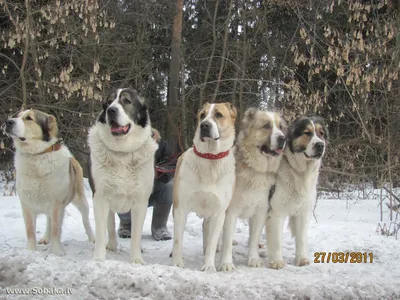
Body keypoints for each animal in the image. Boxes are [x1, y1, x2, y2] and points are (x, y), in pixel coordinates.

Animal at [3, 109, 95, 255]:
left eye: (29, 118)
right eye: (16, 116)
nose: (8, 122)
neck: (38, 155)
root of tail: (73, 158)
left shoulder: (57, 203)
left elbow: (56, 229)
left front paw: (56, 252)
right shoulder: (27, 204)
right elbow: (30, 231)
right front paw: (30, 251)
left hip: (80, 199)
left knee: (85, 220)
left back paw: (92, 238)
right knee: (48, 219)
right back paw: (46, 237)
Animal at [87, 88, 158, 264]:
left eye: (126, 101)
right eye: (108, 102)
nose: (111, 110)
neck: (122, 152)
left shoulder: (140, 201)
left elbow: (136, 234)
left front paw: (137, 259)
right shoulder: (100, 198)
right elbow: (101, 232)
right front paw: (98, 258)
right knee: (110, 225)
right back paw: (111, 245)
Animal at [173, 102, 238, 270]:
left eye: (219, 115)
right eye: (202, 115)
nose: (204, 125)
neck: (211, 158)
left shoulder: (218, 213)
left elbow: (212, 243)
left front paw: (209, 266)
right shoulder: (181, 208)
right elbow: (177, 240)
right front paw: (177, 263)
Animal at [219, 106, 288, 270]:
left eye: (280, 127)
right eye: (266, 126)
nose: (283, 139)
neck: (255, 170)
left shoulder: (260, 212)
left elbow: (254, 238)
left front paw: (253, 258)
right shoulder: (231, 212)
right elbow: (227, 241)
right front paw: (226, 263)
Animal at [266, 115, 328, 270]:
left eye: (321, 134)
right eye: (307, 133)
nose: (320, 145)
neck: (299, 173)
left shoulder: (303, 212)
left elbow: (301, 238)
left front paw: (301, 259)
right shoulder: (276, 212)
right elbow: (276, 240)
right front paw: (276, 261)